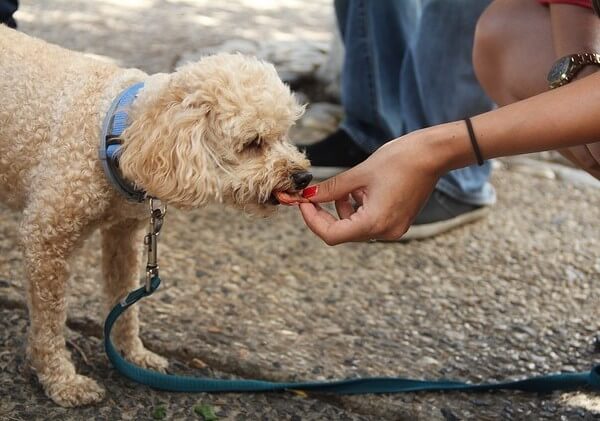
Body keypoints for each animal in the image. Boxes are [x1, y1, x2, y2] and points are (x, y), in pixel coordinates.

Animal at [0, 25, 310, 404]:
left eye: (285, 135)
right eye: (253, 142)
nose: (304, 177)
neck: (115, 132)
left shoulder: (123, 235)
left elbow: (125, 300)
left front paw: (133, 354)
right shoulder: (47, 240)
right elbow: (49, 321)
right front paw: (62, 380)